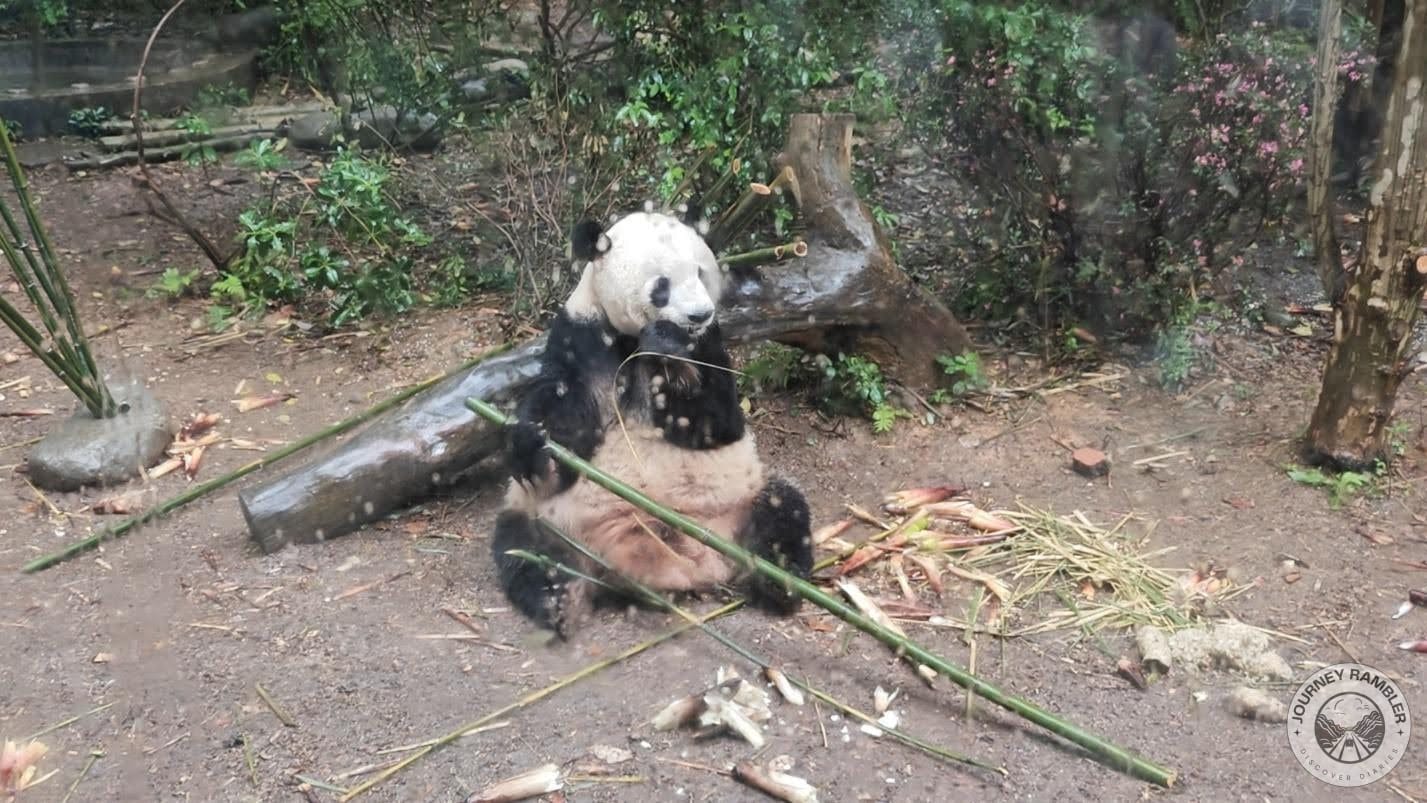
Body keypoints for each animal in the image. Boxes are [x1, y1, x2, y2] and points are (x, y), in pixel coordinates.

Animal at [491, 204, 814, 634]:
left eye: (701, 273)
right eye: (662, 285)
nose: (699, 314)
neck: (634, 336)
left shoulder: (709, 343)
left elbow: (717, 421)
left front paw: (668, 350)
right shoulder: (583, 333)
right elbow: (565, 409)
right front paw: (530, 442)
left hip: (741, 500)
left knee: (784, 509)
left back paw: (780, 584)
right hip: (547, 517)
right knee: (522, 547)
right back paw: (557, 599)